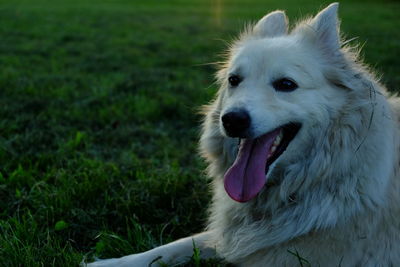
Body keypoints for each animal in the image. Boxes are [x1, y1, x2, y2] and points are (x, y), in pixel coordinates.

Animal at [89, 2, 400, 267]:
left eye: (286, 84)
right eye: (234, 80)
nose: (232, 120)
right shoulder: (233, 238)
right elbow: (171, 247)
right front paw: (109, 263)